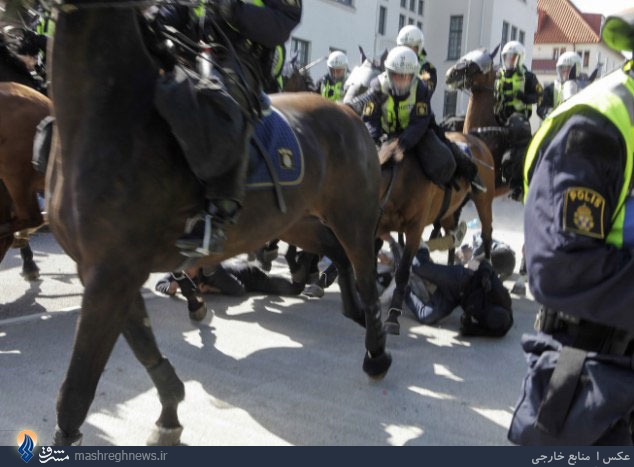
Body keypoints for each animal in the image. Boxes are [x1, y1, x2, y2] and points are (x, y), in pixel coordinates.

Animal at [45, 4, 390, 450]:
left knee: (365, 273)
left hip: (354, 218)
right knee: (334, 253)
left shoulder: (111, 274)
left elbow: (77, 390)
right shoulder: (106, 272)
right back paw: (344, 306)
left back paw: (376, 352)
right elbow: (145, 349)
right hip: (297, 221)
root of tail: (349, 112)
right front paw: (170, 413)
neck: (110, 115)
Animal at [376, 133, 494, 336]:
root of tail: (475, 140)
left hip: (483, 201)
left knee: (486, 233)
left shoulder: (414, 229)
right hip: (449, 212)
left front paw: (393, 317)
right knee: (451, 237)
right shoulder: (378, 225)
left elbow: (403, 270)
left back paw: (487, 265)